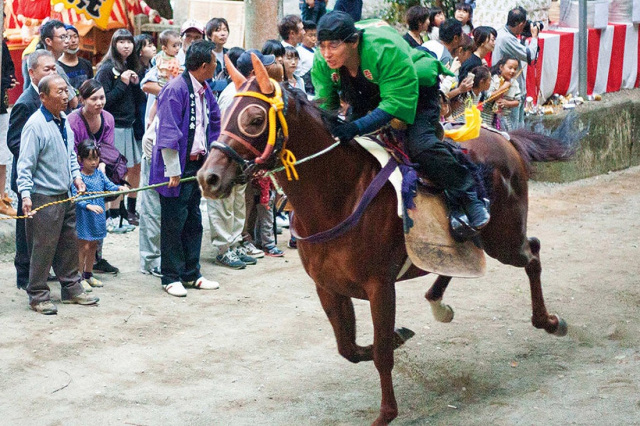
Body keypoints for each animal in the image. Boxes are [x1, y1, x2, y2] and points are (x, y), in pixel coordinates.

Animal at [198, 55, 572, 424]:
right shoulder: (328, 286)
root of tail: (504, 137)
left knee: (532, 253)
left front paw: (386, 412)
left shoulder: (380, 286)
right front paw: (396, 337)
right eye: (224, 110)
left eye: (255, 119)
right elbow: (348, 348)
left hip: (504, 238)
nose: (207, 178)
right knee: (461, 258)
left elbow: (379, 354)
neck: (339, 195)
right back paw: (438, 303)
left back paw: (549, 321)